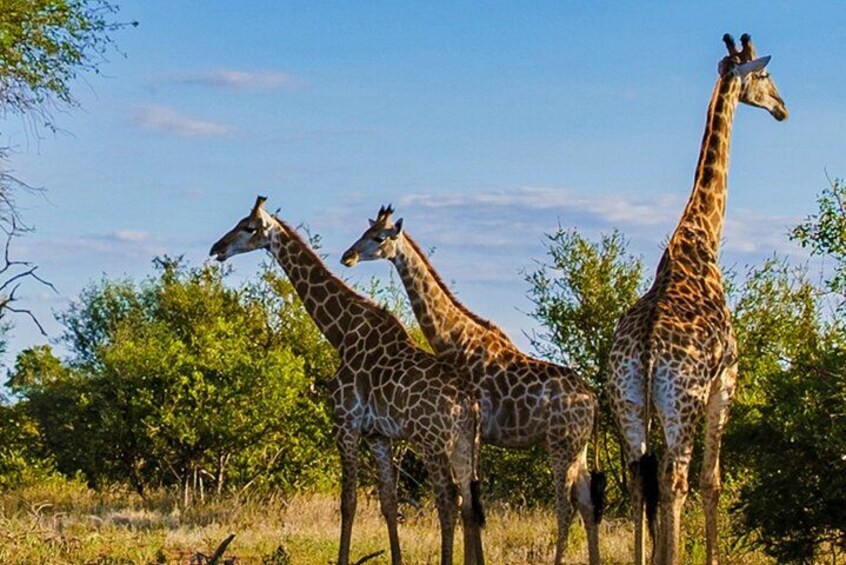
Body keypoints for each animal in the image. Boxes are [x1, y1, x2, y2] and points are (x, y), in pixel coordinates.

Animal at [210, 196, 485, 565]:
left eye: (248, 227)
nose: (216, 248)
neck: (341, 333)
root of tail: (469, 401)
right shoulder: (378, 435)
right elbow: (388, 503)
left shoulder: (345, 423)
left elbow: (348, 502)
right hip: (465, 443)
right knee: (469, 502)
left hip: (432, 441)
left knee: (448, 502)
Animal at [341, 206, 603, 565]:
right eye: (364, 232)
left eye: (379, 238)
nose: (348, 256)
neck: (455, 339)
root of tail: (592, 399)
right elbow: (472, 504)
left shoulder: (471, 430)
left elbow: (469, 503)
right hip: (579, 447)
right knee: (588, 503)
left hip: (560, 444)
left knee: (565, 507)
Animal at [606, 34, 787, 565]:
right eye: (765, 76)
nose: (782, 109)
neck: (700, 238)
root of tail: (646, 351)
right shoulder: (726, 380)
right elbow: (713, 482)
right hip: (681, 401)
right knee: (676, 479)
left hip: (628, 402)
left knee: (639, 480)